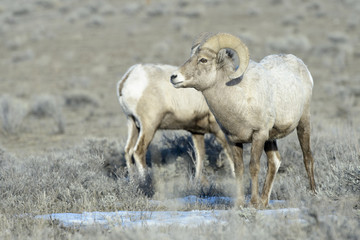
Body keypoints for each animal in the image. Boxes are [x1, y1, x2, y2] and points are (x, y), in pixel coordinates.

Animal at [170, 32, 316, 208]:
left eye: (203, 60)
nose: (174, 77)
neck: (239, 100)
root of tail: (300, 65)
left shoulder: (258, 135)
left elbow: (253, 167)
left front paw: (253, 203)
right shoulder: (234, 140)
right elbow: (238, 169)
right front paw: (239, 203)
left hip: (303, 124)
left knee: (307, 158)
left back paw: (313, 194)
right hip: (271, 138)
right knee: (274, 162)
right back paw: (264, 202)